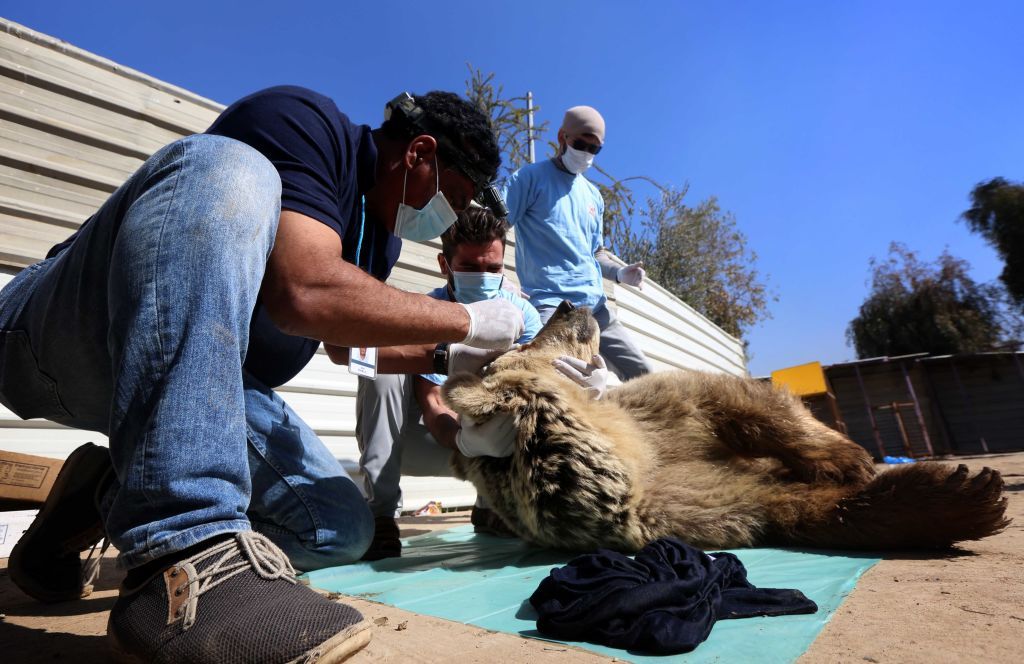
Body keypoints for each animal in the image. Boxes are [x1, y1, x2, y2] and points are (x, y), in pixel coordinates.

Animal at [444, 303, 1011, 553]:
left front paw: (848, 459)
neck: (630, 451)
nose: (566, 304)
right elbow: (785, 505)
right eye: (524, 343)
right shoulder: (688, 502)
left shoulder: (661, 414)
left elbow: (741, 404)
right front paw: (963, 496)